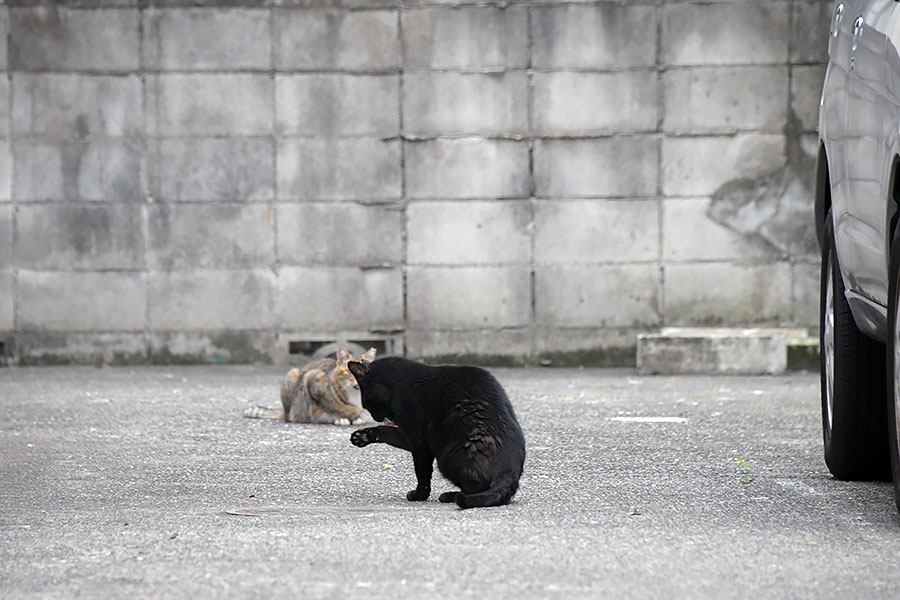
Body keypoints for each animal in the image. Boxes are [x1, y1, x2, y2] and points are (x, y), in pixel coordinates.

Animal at [346, 358, 528, 508]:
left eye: (366, 403)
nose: (375, 417)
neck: (399, 385)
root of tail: (509, 470)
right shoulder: (411, 438)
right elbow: (386, 431)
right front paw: (362, 436)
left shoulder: (418, 443)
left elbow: (422, 474)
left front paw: (419, 495)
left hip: (447, 458)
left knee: (473, 488)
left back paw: (451, 496)